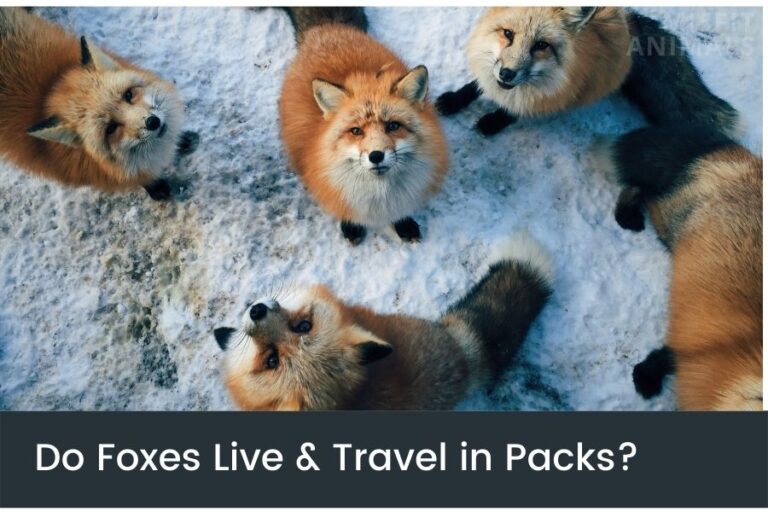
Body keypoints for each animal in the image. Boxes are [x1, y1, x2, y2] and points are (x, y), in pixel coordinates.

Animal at [0, 7, 199, 200]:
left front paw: (181, 140)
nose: (153, 122)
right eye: (110, 128)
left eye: (128, 94)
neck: (50, 87)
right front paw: (155, 187)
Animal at [278, 8, 449, 245]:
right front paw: (351, 224)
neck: (379, 195)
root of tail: (327, 30)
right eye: (356, 131)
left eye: (393, 125)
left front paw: (403, 223)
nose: (376, 156)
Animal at [436, 7, 739, 137]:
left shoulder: (556, 93)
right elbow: (475, 85)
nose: (508, 74)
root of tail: (629, 23)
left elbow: (517, 111)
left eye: (541, 46)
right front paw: (454, 99)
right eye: (508, 34)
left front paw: (494, 121)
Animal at [594, 124, 762, 411]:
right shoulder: (696, 347)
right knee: (639, 188)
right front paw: (646, 379)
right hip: (669, 217)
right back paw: (626, 214)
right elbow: (662, 358)